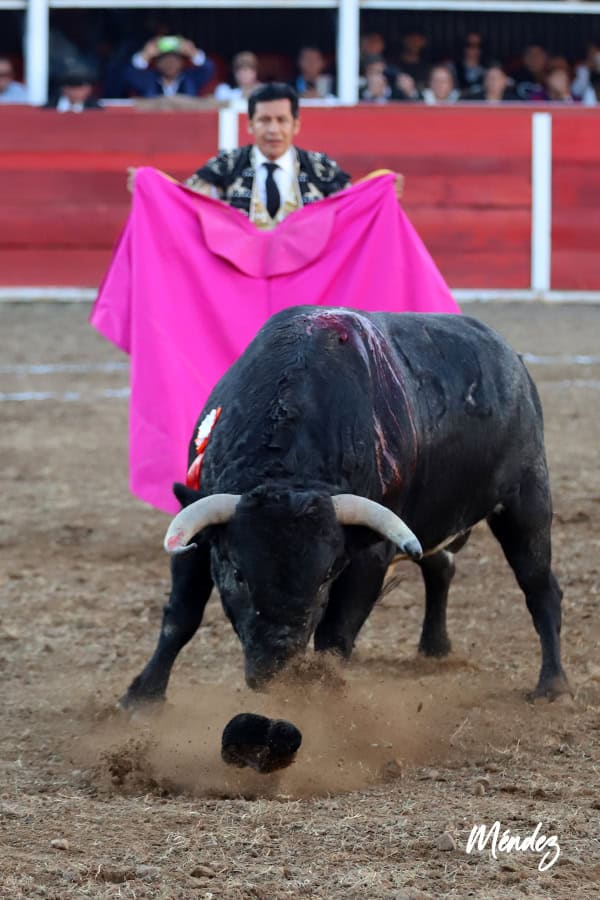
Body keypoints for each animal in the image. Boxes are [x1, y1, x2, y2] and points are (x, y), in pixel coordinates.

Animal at [120, 306, 568, 708]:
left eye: (325, 577)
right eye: (238, 574)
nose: (274, 670)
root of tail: (512, 360)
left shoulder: (368, 556)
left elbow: (335, 635)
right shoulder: (199, 532)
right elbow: (181, 615)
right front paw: (142, 696)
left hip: (526, 498)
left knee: (540, 587)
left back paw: (553, 684)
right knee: (441, 567)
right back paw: (434, 647)